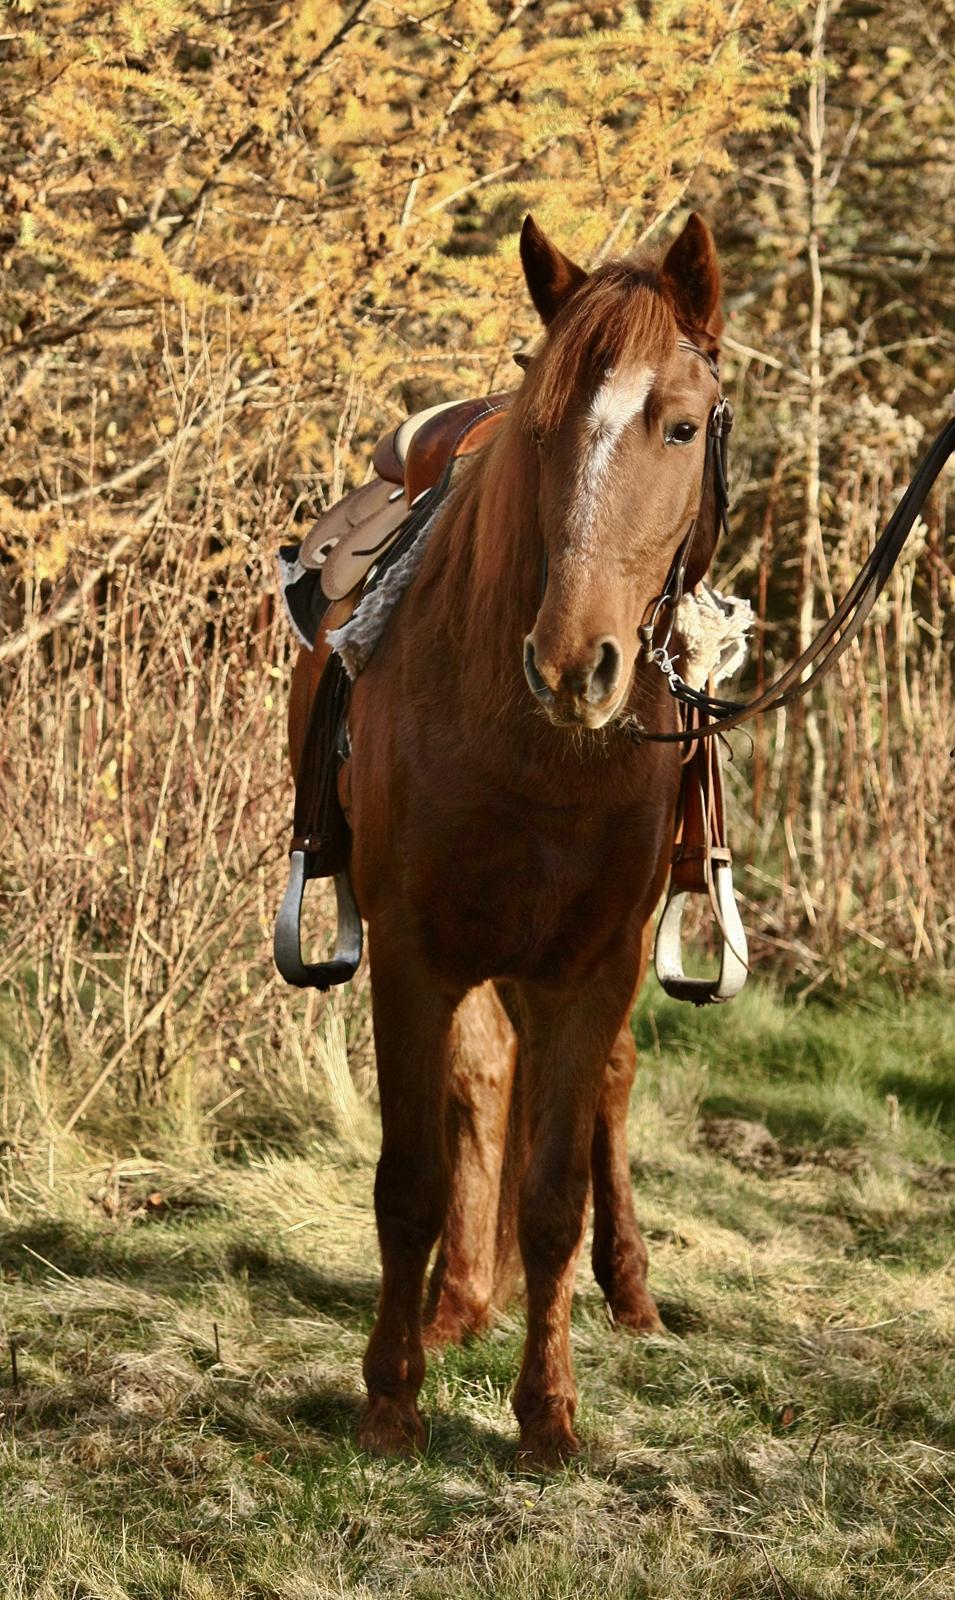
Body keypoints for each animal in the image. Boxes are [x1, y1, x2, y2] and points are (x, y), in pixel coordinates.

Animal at [291, 209, 723, 1465]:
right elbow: (412, 1176)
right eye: (544, 431)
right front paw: (393, 1395)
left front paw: (549, 1415)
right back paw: (454, 1305)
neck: (536, 750)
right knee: (482, 1089)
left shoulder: (593, 965)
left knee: (604, 1093)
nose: (574, 664)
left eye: (681, 423)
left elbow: (552, 1196)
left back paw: (628, 1292)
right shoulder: (415, 955)